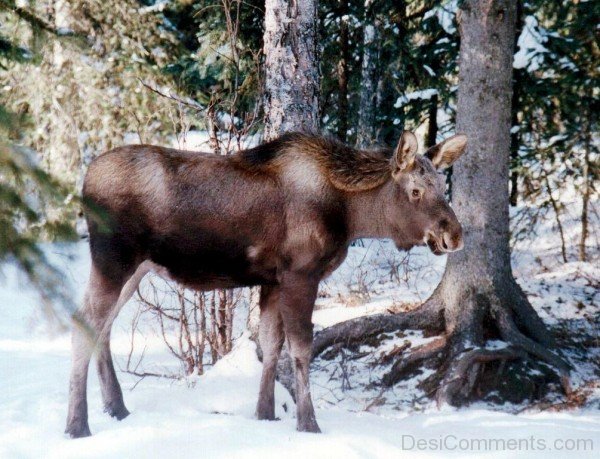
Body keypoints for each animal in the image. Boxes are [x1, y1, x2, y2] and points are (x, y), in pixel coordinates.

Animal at [67, 130, 468, 438]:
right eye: (415, 191)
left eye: (442, 184)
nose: (455, 235)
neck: (350, 216)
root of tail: (84, 181)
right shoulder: (301, 274)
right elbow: (301, 348)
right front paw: (308, 423)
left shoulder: (273, 281)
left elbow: (271, 344)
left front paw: (265, 413)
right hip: (113, 260)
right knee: (82, 320)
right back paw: (77, 426)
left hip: (135, 269)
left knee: (102, 327)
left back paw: (117, 409)